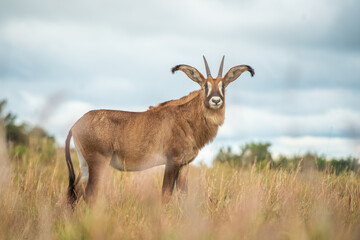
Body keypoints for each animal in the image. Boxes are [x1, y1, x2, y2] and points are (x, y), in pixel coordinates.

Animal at [65, 56, 256, 206]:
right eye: (204, 86)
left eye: (224, 85)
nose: (215, 101)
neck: (186, 118)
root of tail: (76, 124)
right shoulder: (172, 161)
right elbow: (165, 195)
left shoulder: (184, 165)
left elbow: (183, 196)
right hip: (98, 162)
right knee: (90, 194)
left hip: (85, 165)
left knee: (76, 194)